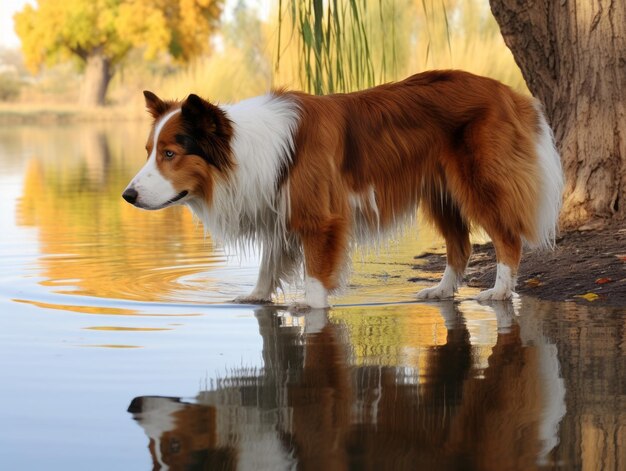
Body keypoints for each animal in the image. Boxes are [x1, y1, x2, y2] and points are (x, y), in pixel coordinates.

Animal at [120, 68, 560, 308]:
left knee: (507, 237)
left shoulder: (320, 215)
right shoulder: (282, 205)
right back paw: (442, 290)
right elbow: (269, 261)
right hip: (440, 192)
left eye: (171, 154)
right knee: (461, 245)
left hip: (479, 184)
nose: (128, 196)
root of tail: (508, 92)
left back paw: (499, 291)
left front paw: (309, 304)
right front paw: (257, 296)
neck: (246, 147)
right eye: (149, 151)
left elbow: (316, 269)